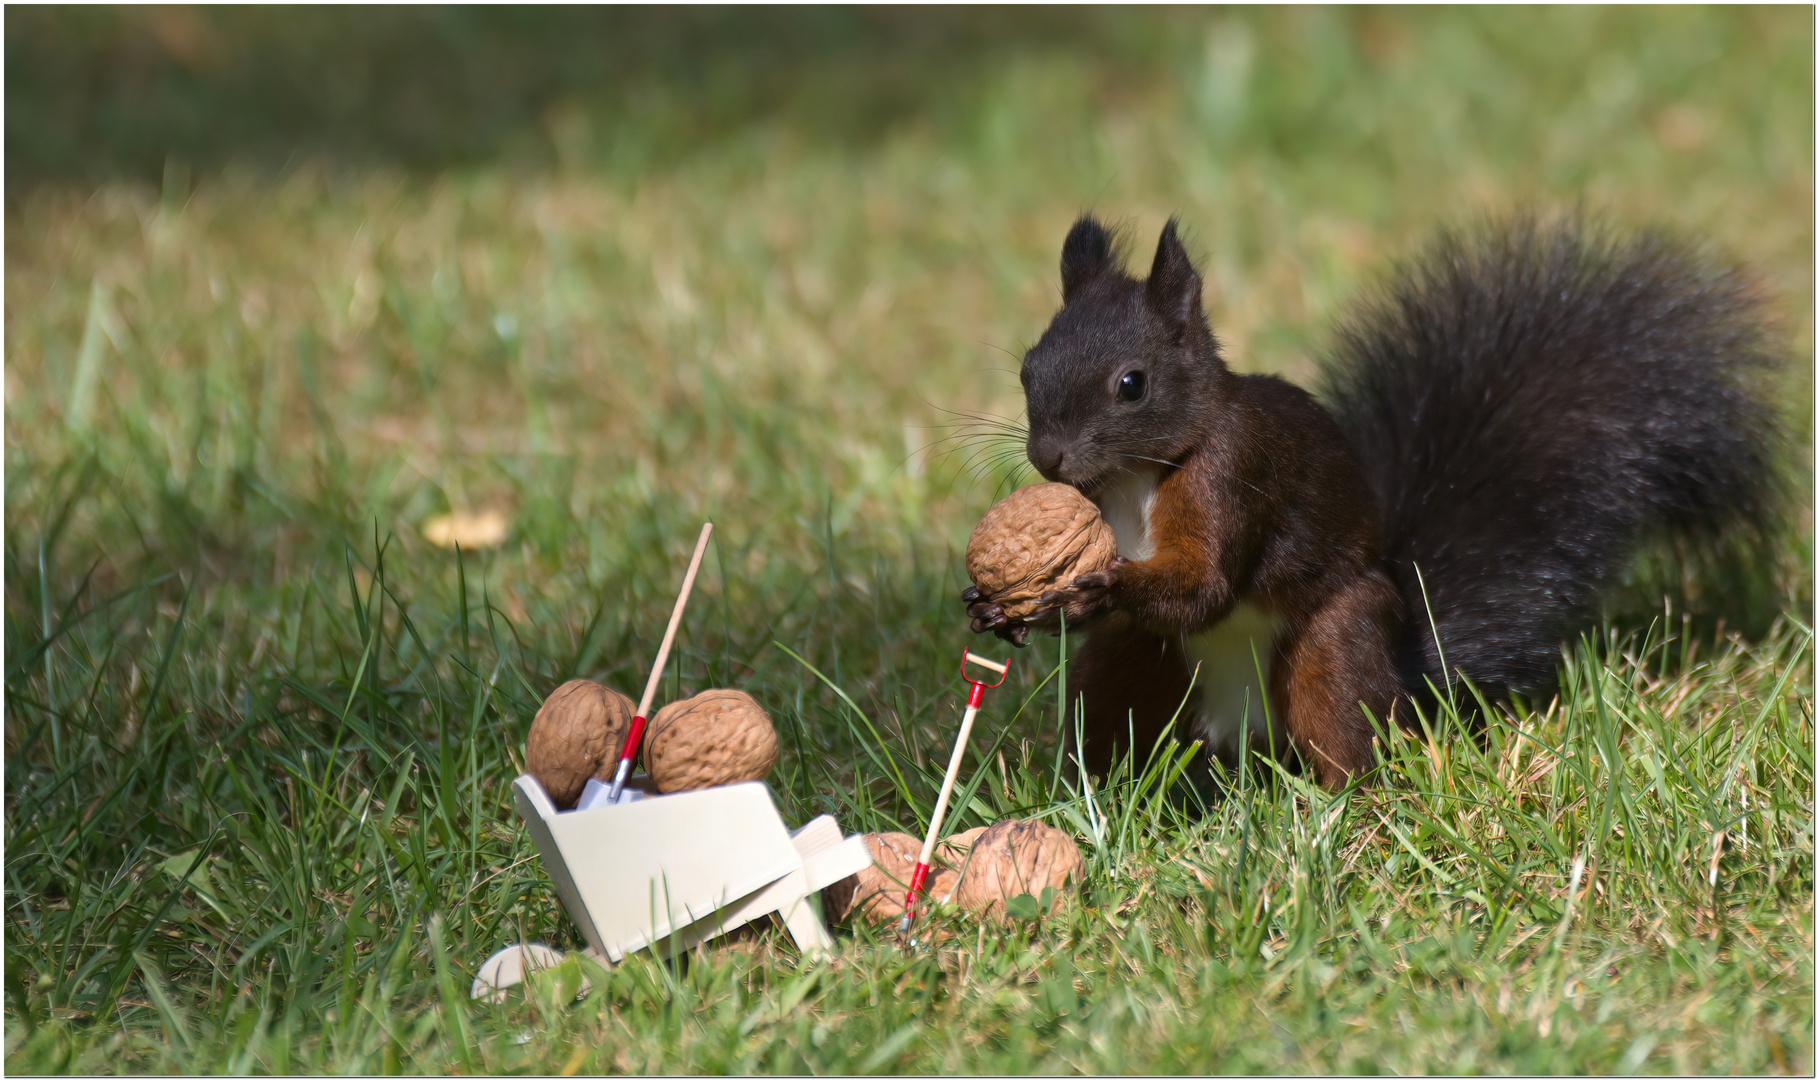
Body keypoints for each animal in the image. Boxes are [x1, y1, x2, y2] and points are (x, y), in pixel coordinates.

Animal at [966, 212, 1787, 781]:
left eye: (1131, 384)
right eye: (1029, 367)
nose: (1047, 456)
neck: (1136, 479)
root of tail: (1245, 726)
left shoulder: (1230, 474)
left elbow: (1203, 584)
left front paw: (1093, 589)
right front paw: (990, 605)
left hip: (1336, 640)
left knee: (1341, 725)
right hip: (1130, 666)